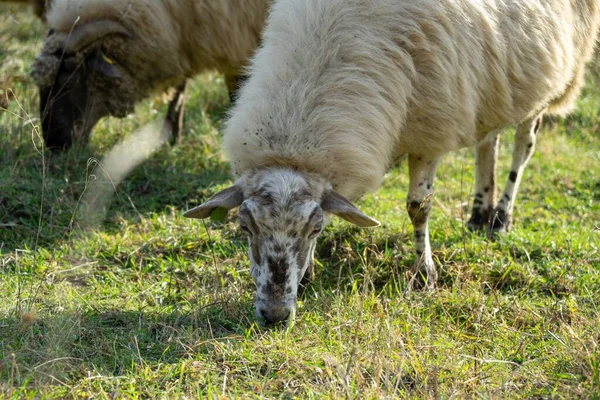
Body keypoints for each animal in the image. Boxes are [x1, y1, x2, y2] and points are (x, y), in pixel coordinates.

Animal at [184, 0, 600, 324]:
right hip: (492, 89)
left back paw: (500, 218)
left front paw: (424, 276)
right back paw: (479, 214)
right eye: (244, 227)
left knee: (521, 146)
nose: (273, 316)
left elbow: (419, 207)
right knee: (487, 144)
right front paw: (307, 275)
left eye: (315, 229)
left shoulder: (430, 130)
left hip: (548, 80)